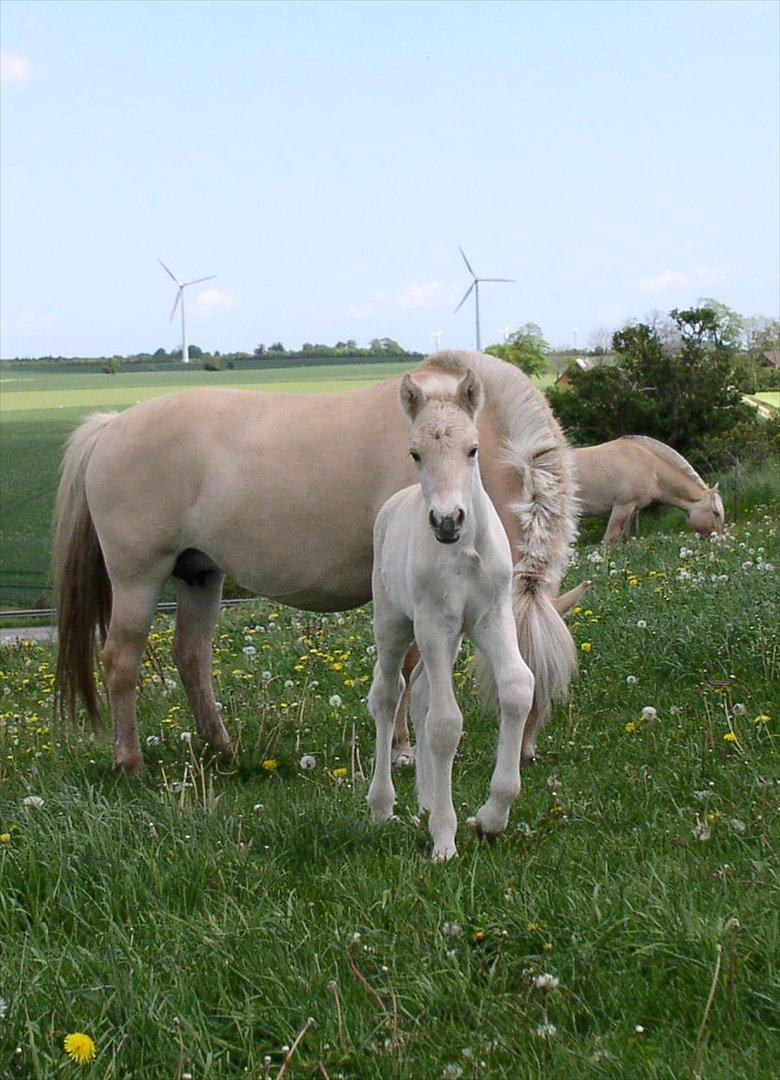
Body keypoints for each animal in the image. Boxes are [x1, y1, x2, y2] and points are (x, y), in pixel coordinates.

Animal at [53, 349, 583, 773]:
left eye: (551, 685)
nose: (525, 755)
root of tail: (111, 427)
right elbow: (407, 669)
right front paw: (401, 750)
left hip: (199, 574)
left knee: (191, 656)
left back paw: (222, 749)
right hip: (137, 578)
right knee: (120, 661)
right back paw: (130, 762)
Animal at [365, 369, 535, 859]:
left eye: (473, 449)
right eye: (415, 453)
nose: (446, 520)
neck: (464, 553)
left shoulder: (491, 616)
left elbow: (518, 687)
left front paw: (491, 818)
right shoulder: (434, 625)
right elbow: (445, 723)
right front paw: (444, 837)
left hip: (454, 636)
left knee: (420, 690)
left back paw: (425, 798)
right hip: (395, 624)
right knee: (388, 694)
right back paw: (383, 805)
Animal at [570, 434, 721, 544]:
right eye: (716, 513)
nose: (720, 540)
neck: (650, 467)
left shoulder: (631, 509)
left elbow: (622, 539)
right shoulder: (622, 506)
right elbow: (609, 539)